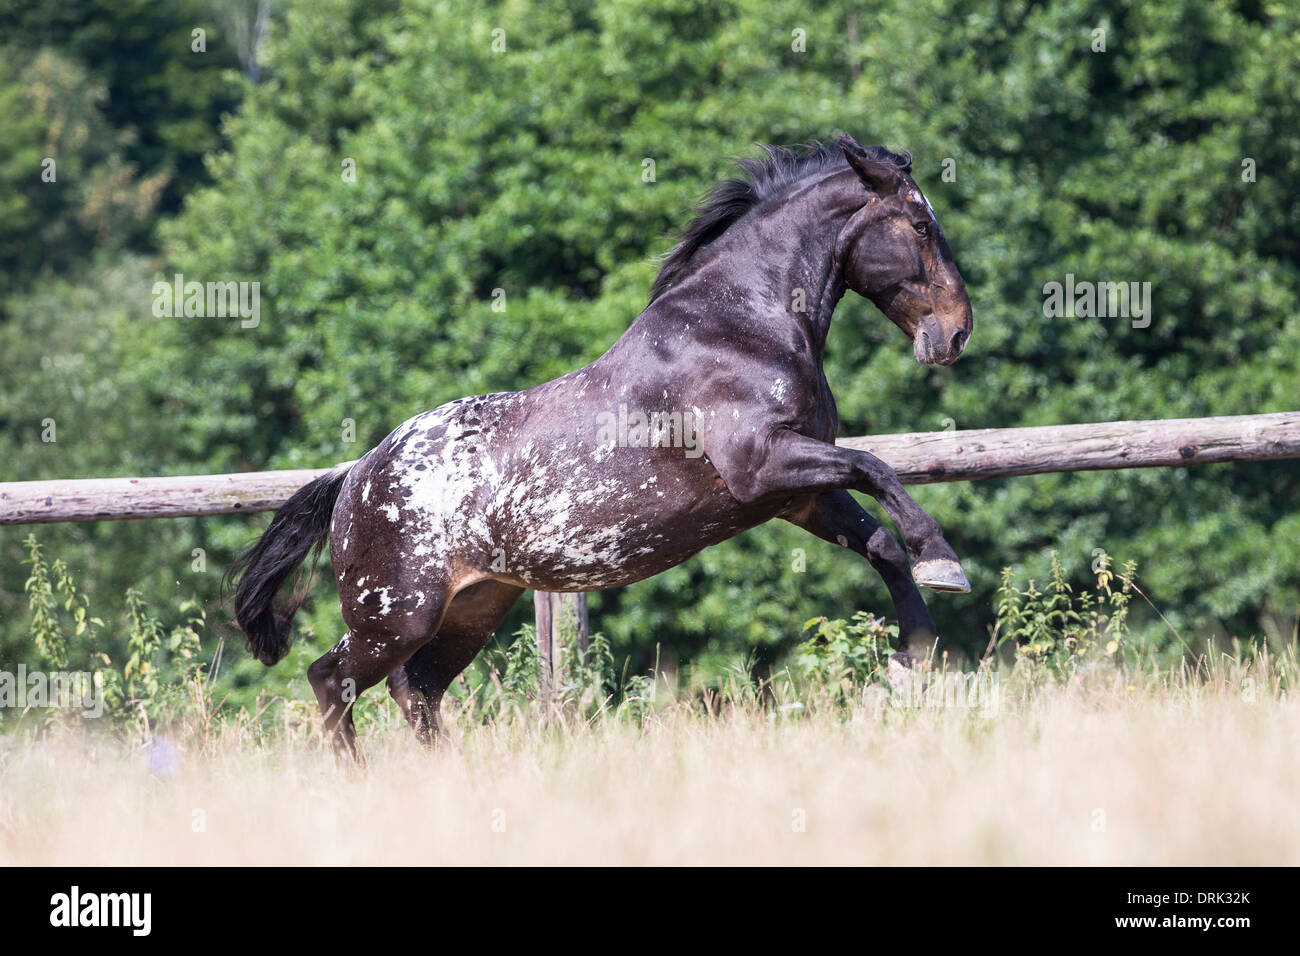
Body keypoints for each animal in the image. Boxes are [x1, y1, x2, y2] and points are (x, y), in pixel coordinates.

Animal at [228, 136, 972, 764]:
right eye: (921, 226)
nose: (958, 332)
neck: (742, 324)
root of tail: (355, 476)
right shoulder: (763, 467)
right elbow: (880, 470)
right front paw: (945, 563)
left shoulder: (799, 494)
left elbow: (881, 542)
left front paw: (915, 655)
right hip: (396, 613)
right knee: (333, 678)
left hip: (472, 606)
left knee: (417, 689)